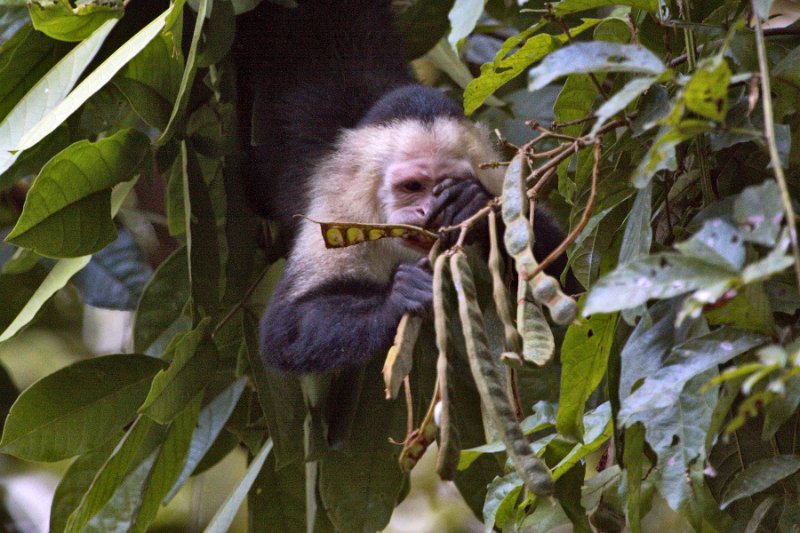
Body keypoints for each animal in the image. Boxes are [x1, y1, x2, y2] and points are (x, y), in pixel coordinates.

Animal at [234, 0, 572, 372]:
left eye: (447, 184)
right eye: (412, 186)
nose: (427, 211)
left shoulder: (496, 179)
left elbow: (571, 279)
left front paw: (472, 205)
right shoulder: (341, 209)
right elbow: (285, 329)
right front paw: (399, 299)